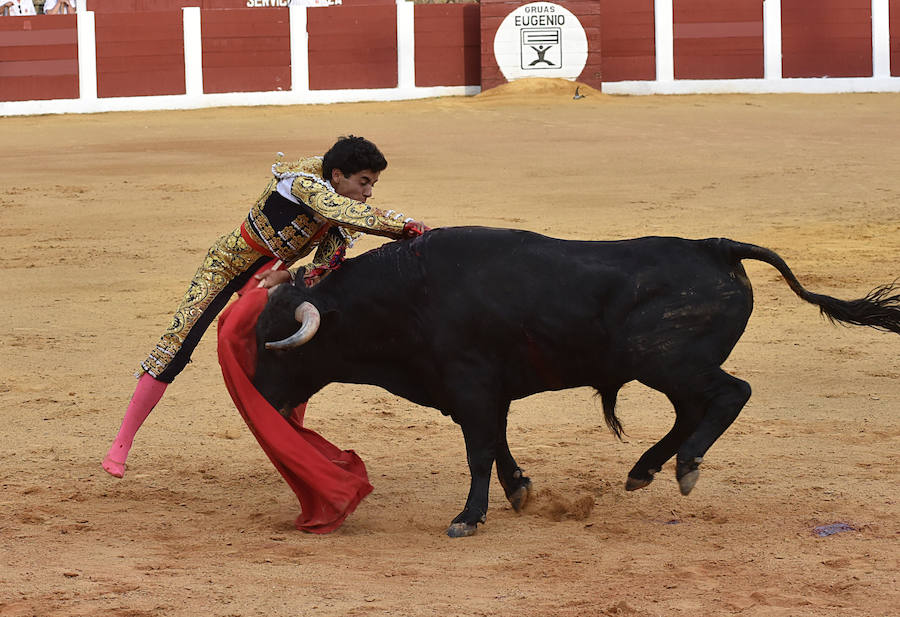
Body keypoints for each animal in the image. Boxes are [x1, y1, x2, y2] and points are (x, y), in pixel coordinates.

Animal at [253, 226, 900, 536]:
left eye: (275, 346)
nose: (261, 396)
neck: (406, 295)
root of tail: (715, 246)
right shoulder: (481, 394)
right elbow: (497, 443)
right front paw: (518, 492)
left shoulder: (470, 385)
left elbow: (479, 449)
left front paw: (468, 517)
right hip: (664, 367)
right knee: (693, 409)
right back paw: (646, 470)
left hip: (663, 359)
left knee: (729, 394)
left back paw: (686, 468)